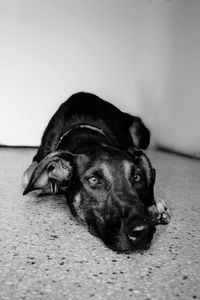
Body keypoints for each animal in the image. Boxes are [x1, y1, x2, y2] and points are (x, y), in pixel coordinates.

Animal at [21, 92, 170, 252]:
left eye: (137, 177)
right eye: (93, 180)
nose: (143, 231)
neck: (87, 136)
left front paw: (155, 203)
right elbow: (28, 176)